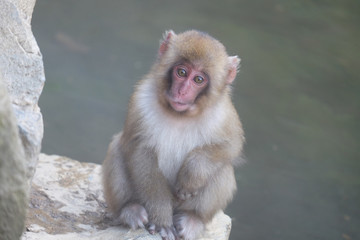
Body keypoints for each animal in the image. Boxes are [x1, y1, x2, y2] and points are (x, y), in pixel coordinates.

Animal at [102, 30, 246, 240]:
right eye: (182, 72)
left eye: (198, 79)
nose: (181, 91)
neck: (180, 115)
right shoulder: (141, 101)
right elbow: (141, 152)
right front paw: (161, 219)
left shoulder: (224, 114)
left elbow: (230, 146)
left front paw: (191, 175)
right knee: (116, 148)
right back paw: (129, 210)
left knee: (223, 168)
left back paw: (192, 218)